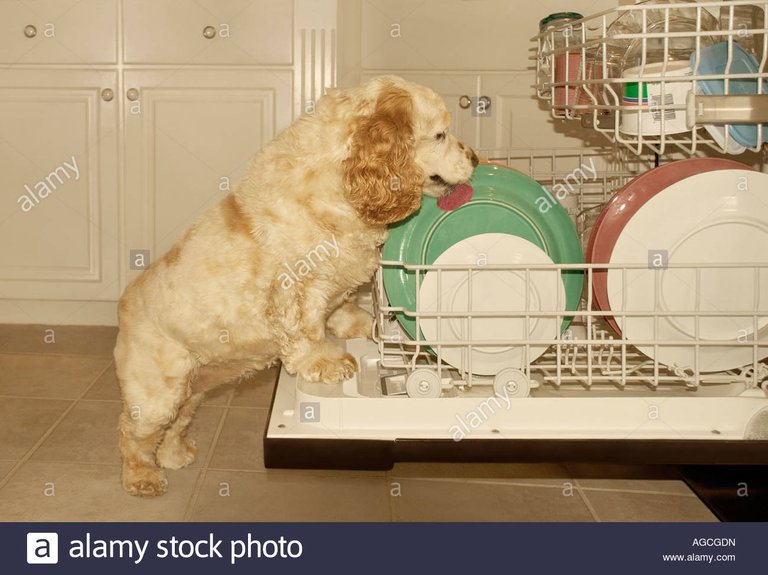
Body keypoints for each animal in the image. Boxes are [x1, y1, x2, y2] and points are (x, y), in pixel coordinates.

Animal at [114, 74, 476, 498]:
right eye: (440, 134)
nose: (475, 158)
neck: (342, 184)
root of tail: (123, 306)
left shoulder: (336, 280)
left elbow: (340, 308)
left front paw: (360, 325)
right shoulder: (297, 287)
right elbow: (307, 329)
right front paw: (327, 362)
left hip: (193, 390)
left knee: (175, 425)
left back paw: (176, 455)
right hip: (158, 393)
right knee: (132, 433)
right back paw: (142, 477)